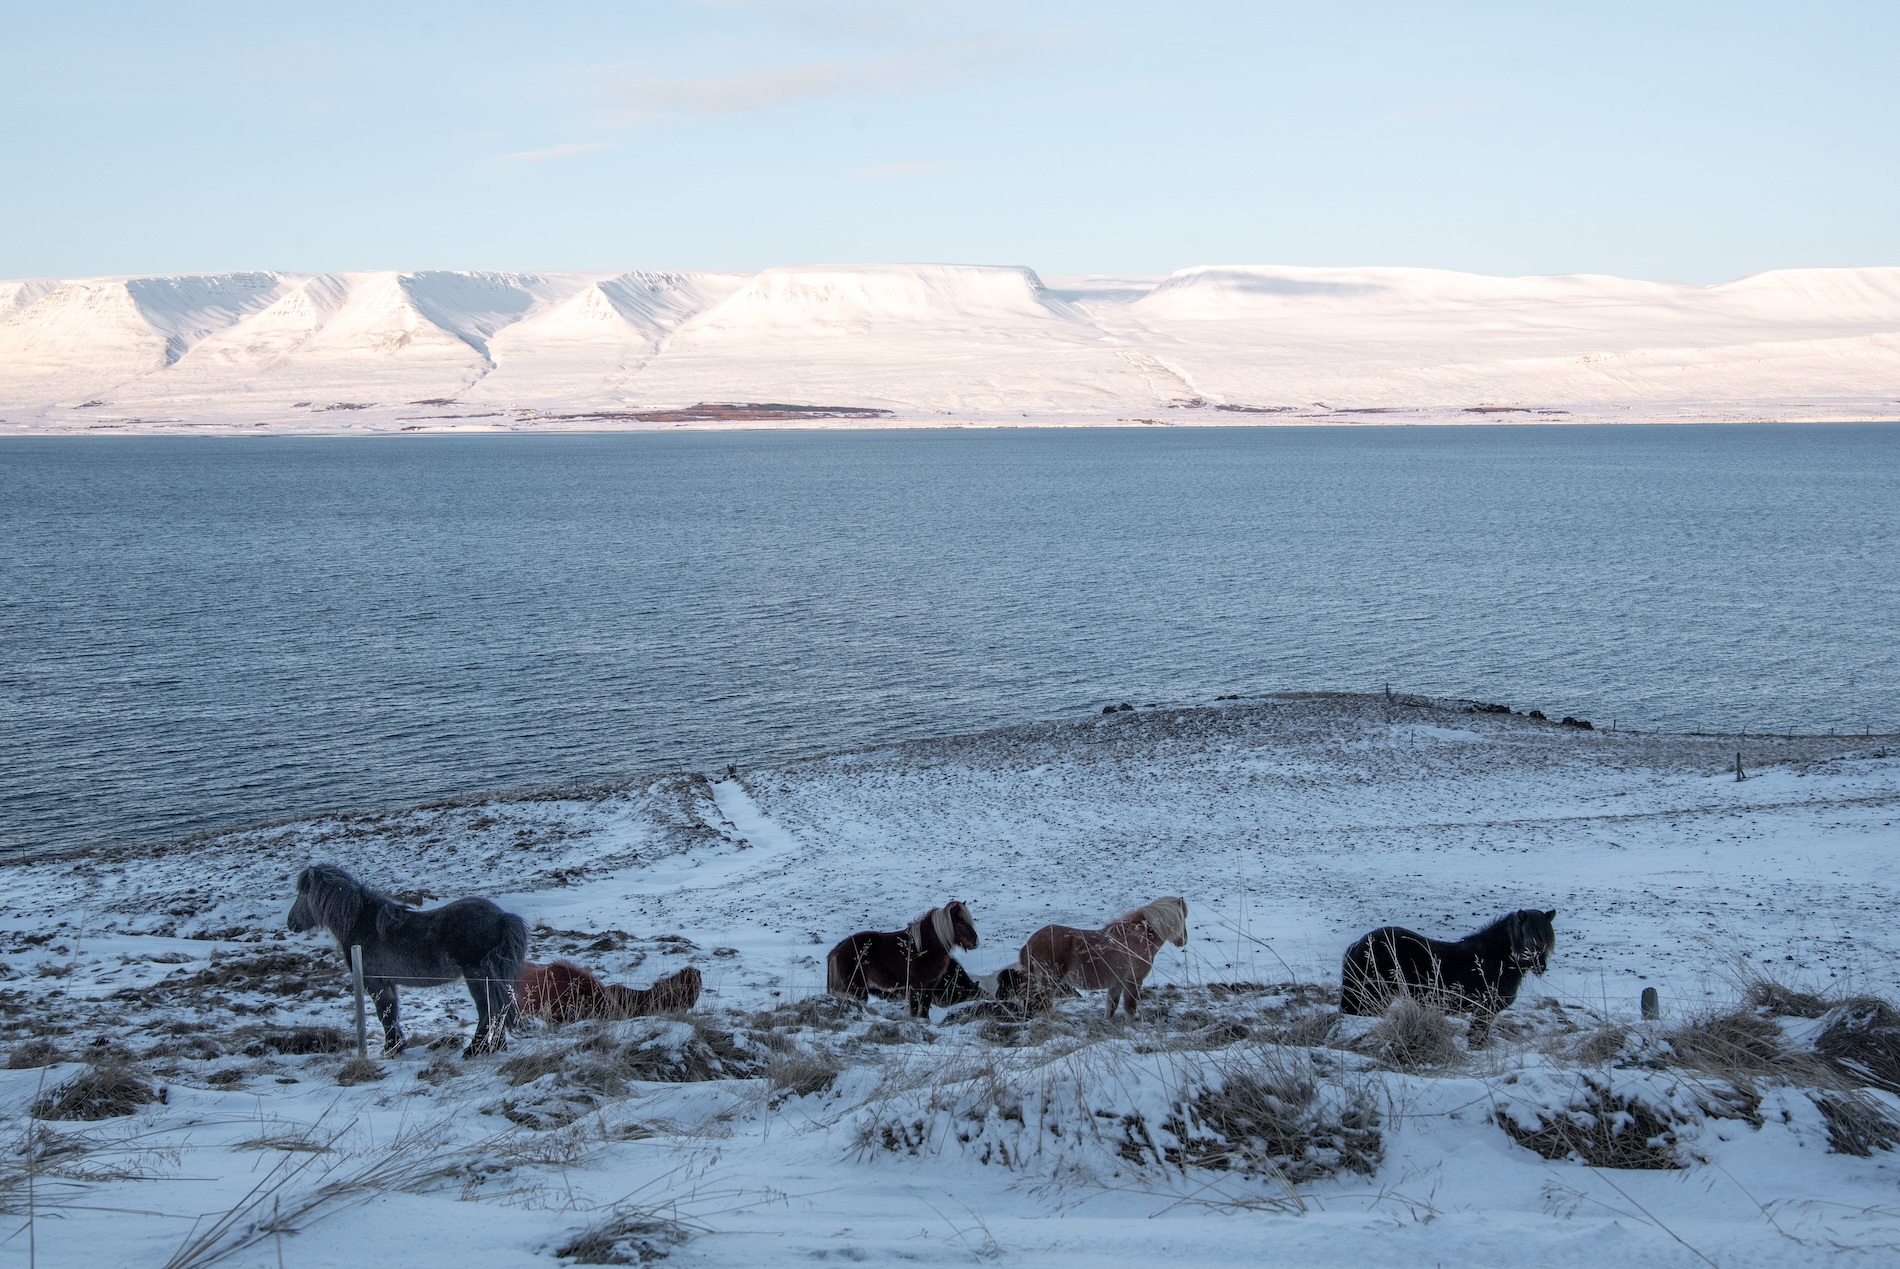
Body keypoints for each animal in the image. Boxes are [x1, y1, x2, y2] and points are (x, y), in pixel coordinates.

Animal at [285, 862, 532, 1063]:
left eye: (302, 894)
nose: (290, 923)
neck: (363, 924)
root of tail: (502, 917)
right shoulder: (388, 982)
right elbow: (392, 1013)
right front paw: (396, 1046)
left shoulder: (374, 982)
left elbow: (384, 1014)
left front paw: (390, 1049)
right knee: (498, 1009)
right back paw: (496, 1047)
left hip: (477, 976)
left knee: (487, 1012)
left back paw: (474, 1049)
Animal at [824, 900, 980, 1018]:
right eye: (961, 923)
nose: (975, 943)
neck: (925, 947)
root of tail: (838, 949)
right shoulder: (915, 984)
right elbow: (915, 1006)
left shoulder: (931, 984)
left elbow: (925, 1005)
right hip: (856, 987)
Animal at [1010, 896, 1185, 1018]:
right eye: (1183, 918)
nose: (1183, 940)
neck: (1136, 937)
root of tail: (1031, 942)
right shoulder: (1133, 982)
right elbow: (1129, 1008)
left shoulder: (1116, 983)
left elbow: (1111, 1008)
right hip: (1048, 982)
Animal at [1337, 908, 1558, 1033]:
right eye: (1529, 937)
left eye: (1546, 940)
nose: (1540, 966)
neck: (1495, 958)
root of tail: (1357, 945)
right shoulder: (1484, 1011)